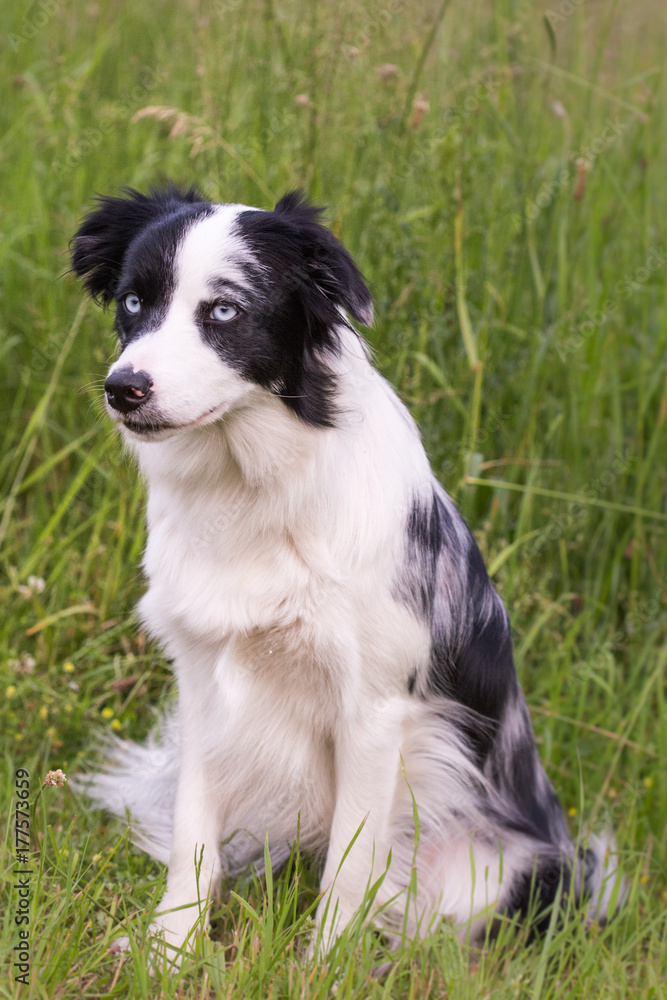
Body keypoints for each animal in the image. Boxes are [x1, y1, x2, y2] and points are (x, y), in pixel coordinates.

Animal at [72, 188, 620, 960]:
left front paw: (321, 966)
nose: (123, 388)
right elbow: (192, 839)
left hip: (485, 867)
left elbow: (349, 865)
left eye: (225, 311)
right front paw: (171, 952)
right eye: (131, 302)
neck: (254, 490)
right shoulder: (205, 683)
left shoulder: (374, 711)